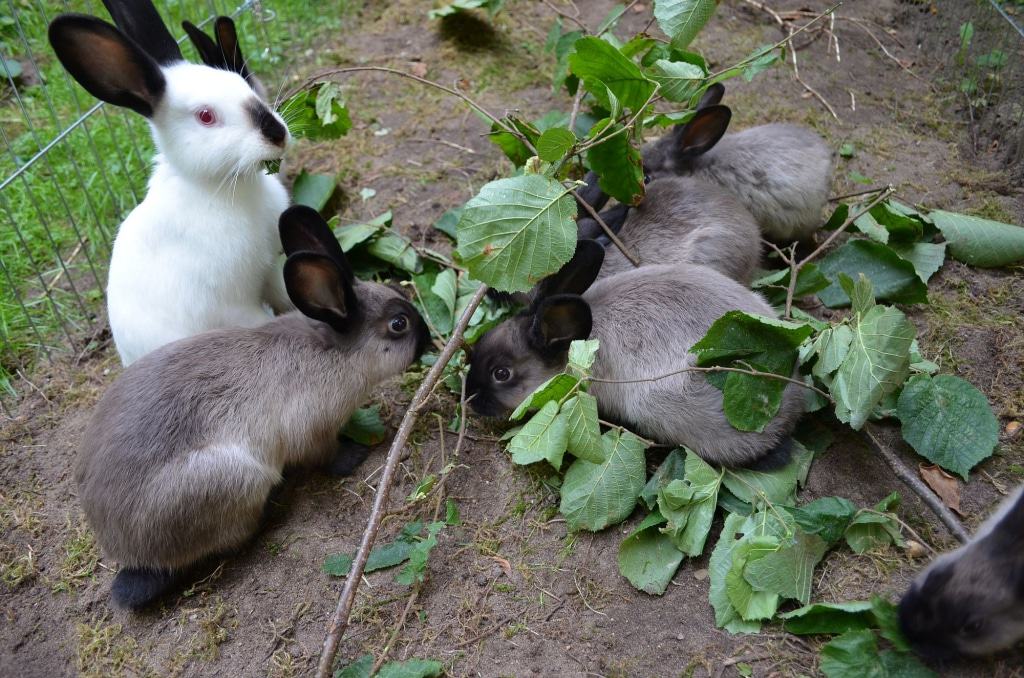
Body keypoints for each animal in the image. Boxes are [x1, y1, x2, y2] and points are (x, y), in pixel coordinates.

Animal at [49, 1, 292, 366]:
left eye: (245, 85)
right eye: (206, 116)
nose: (277, 134)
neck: (219, 188)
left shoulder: (269, 268)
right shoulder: (233, 306)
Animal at [76, 205, 430, 609]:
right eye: (398, 325)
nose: (430, 341)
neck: (334, 352)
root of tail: (133, 555)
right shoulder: (311, 431)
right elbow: (327, 456)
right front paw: (354, 455)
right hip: (235, 476)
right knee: (237, 537)